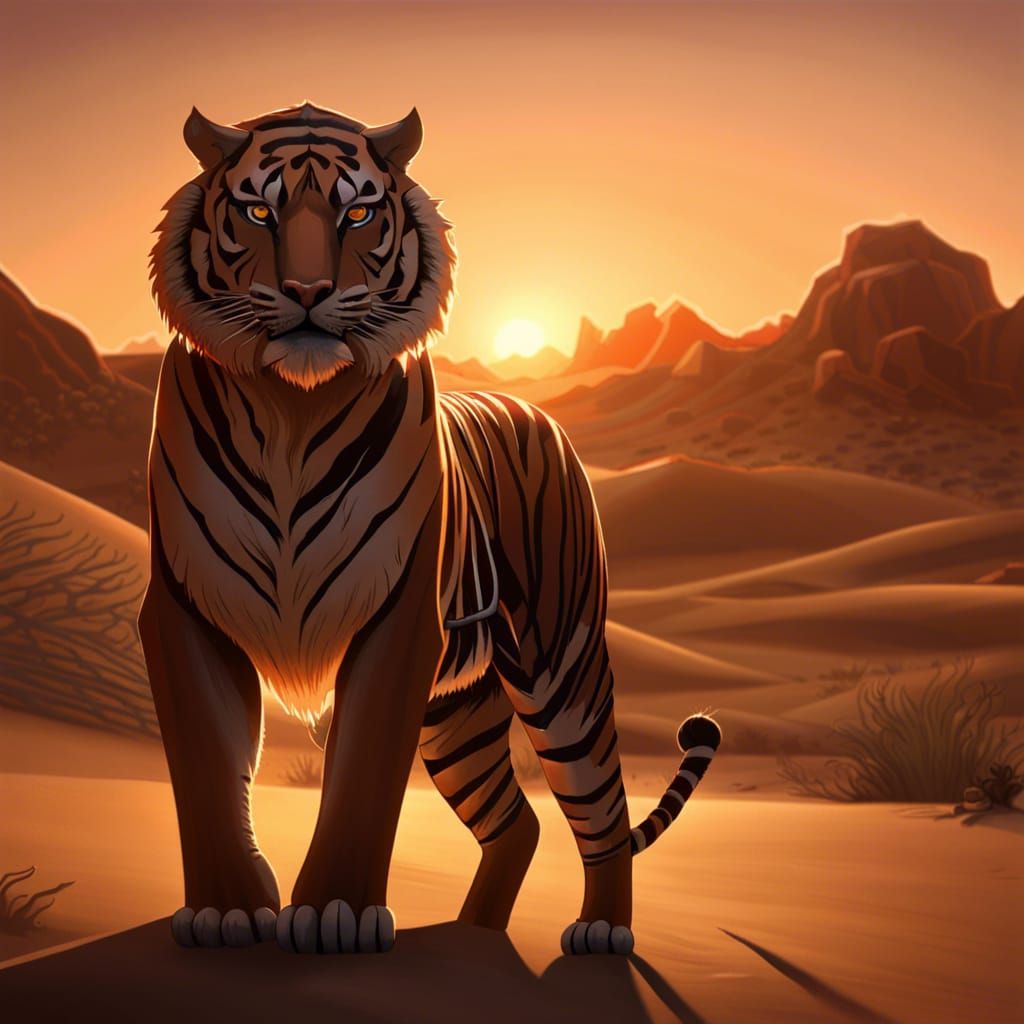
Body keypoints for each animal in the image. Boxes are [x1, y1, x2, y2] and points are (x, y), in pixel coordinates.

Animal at [140, 101, 721, 957]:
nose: (308, 290)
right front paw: (227, 911)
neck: (290, 408)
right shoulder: (184, 609)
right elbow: (208, 768)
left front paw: (335, 913)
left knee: (602, 809)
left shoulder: (400, 616)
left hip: (560, 665)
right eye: (258, 212)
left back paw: (602, 931)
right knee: (516, 825)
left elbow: (363, 774)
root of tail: (537, 411)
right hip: (458, 714)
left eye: (356, 212)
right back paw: (471, 933)